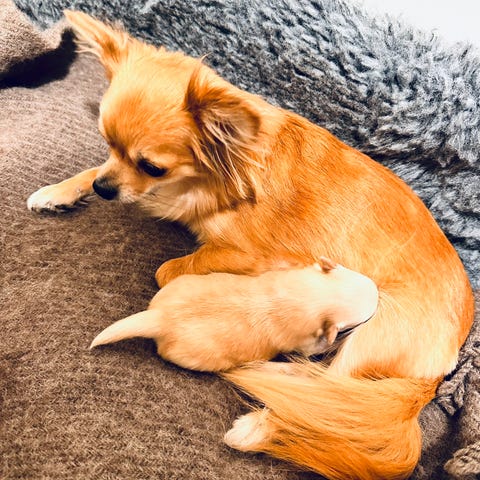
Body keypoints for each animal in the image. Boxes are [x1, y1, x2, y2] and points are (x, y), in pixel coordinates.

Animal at [89, 258, 378, 371]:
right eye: (364, 316)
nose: (378, 292)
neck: (308, 295)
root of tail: (160, 317)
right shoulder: (305, 342)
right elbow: (313, 348)